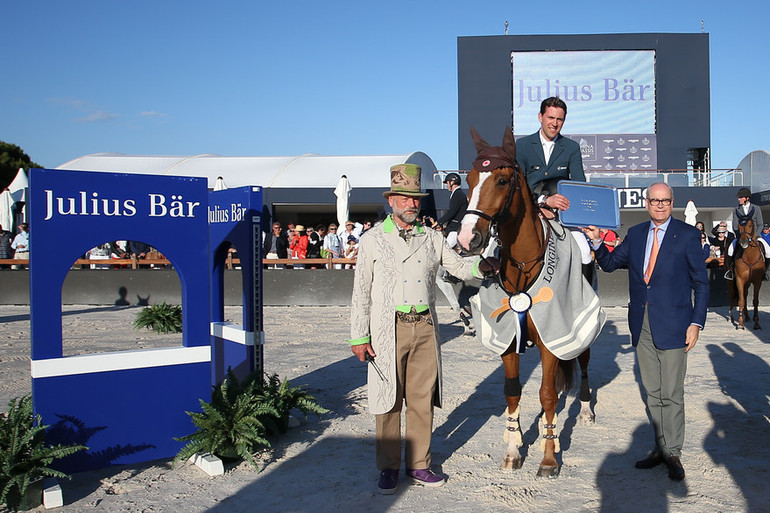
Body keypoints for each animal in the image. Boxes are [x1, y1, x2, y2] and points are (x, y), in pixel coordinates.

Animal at [456, 127, 592, 476]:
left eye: (503, 180)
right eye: (470, 179)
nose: (466, 239)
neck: (523, 262)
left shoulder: (552, 337)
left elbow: (546, 395)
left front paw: (548, 458)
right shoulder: (508, 341)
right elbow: (513, 392)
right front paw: (513, 450)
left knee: (583, 363)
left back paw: (585, 410)